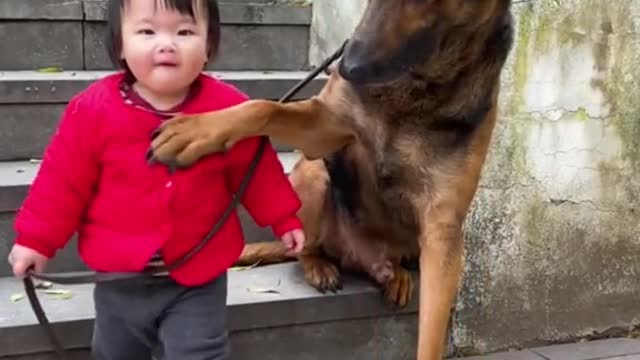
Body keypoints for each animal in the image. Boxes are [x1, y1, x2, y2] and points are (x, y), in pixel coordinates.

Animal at [149, 0, 516, 358]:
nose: (347, 67)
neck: (418, 86)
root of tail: (362, 255)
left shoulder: (443, 234)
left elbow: (430, 340)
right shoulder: (324, 125)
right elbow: (263, 106)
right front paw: (197, 130)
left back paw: (394, 275)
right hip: (315, 173)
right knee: (304, 248)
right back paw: (321, 267)